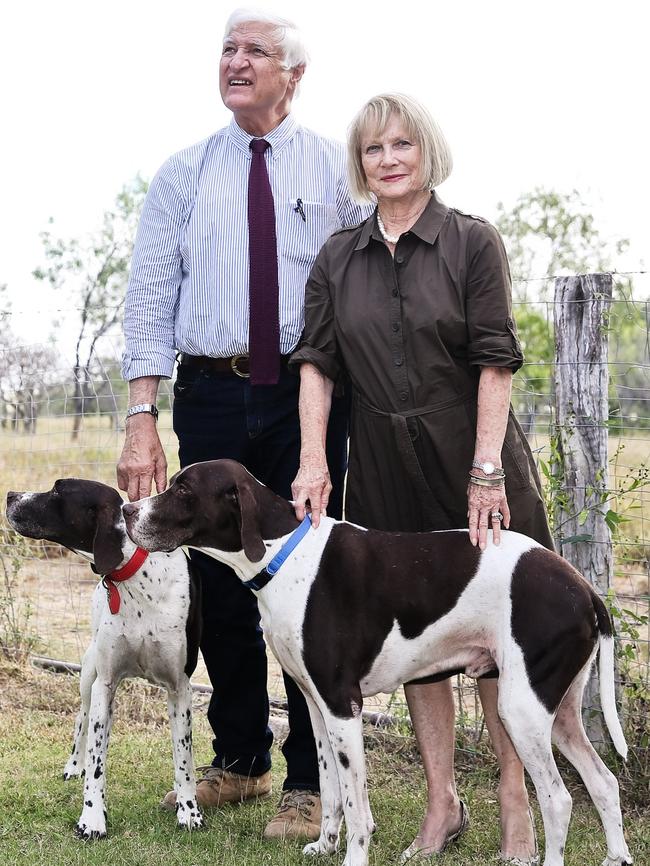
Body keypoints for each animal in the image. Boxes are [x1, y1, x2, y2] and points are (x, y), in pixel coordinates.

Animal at [4, 480, 202, 836]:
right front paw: (93, 817)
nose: (11, 495)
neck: (136, 579)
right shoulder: (105, 683)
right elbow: (96, 761)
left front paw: (189, 810)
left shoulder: (180, 688)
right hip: (89, 677)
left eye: (58, 492)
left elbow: (184, 758)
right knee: (82, 721)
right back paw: (74, 765)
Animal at [120, 460, 628, 864]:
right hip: (560, 713)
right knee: (604, 782)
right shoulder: (317, 707)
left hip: (521, 710)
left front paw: (352, 858)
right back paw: (616, 858)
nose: (128, 511)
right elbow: (330, 791)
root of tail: (585, 590)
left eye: (183, 490)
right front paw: (324, 845)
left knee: (559, 800)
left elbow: (357, 806)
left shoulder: (344, 707)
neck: (284, 553)